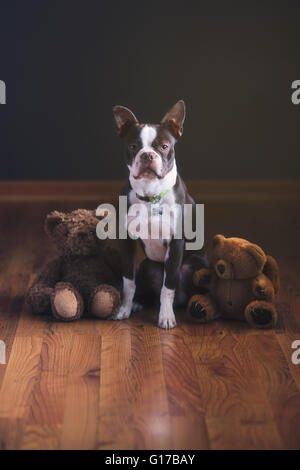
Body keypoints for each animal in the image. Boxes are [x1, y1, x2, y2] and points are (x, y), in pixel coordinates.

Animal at [111, 101, 207, 328]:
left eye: (164, 146)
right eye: (133, 146)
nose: (147, 155)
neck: (151, 195)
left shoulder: (176, 243)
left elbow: (168, 286)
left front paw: (166, 317)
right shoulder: (126, 241)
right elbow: (128, 281)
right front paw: (124, 308)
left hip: (196, 264)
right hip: (147, 266)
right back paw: (139, 303)